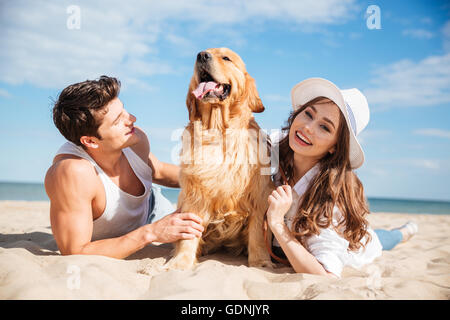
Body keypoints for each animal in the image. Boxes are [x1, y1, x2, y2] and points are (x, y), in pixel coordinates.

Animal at [166, 47, 274, 268]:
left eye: (226, 58)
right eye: (202, 53)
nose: (201, 55)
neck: (218, 130)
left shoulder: (258, 197)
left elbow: (257, 235)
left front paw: (260, 262)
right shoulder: (195, 195)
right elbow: (188, 234)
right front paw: (181, 262)